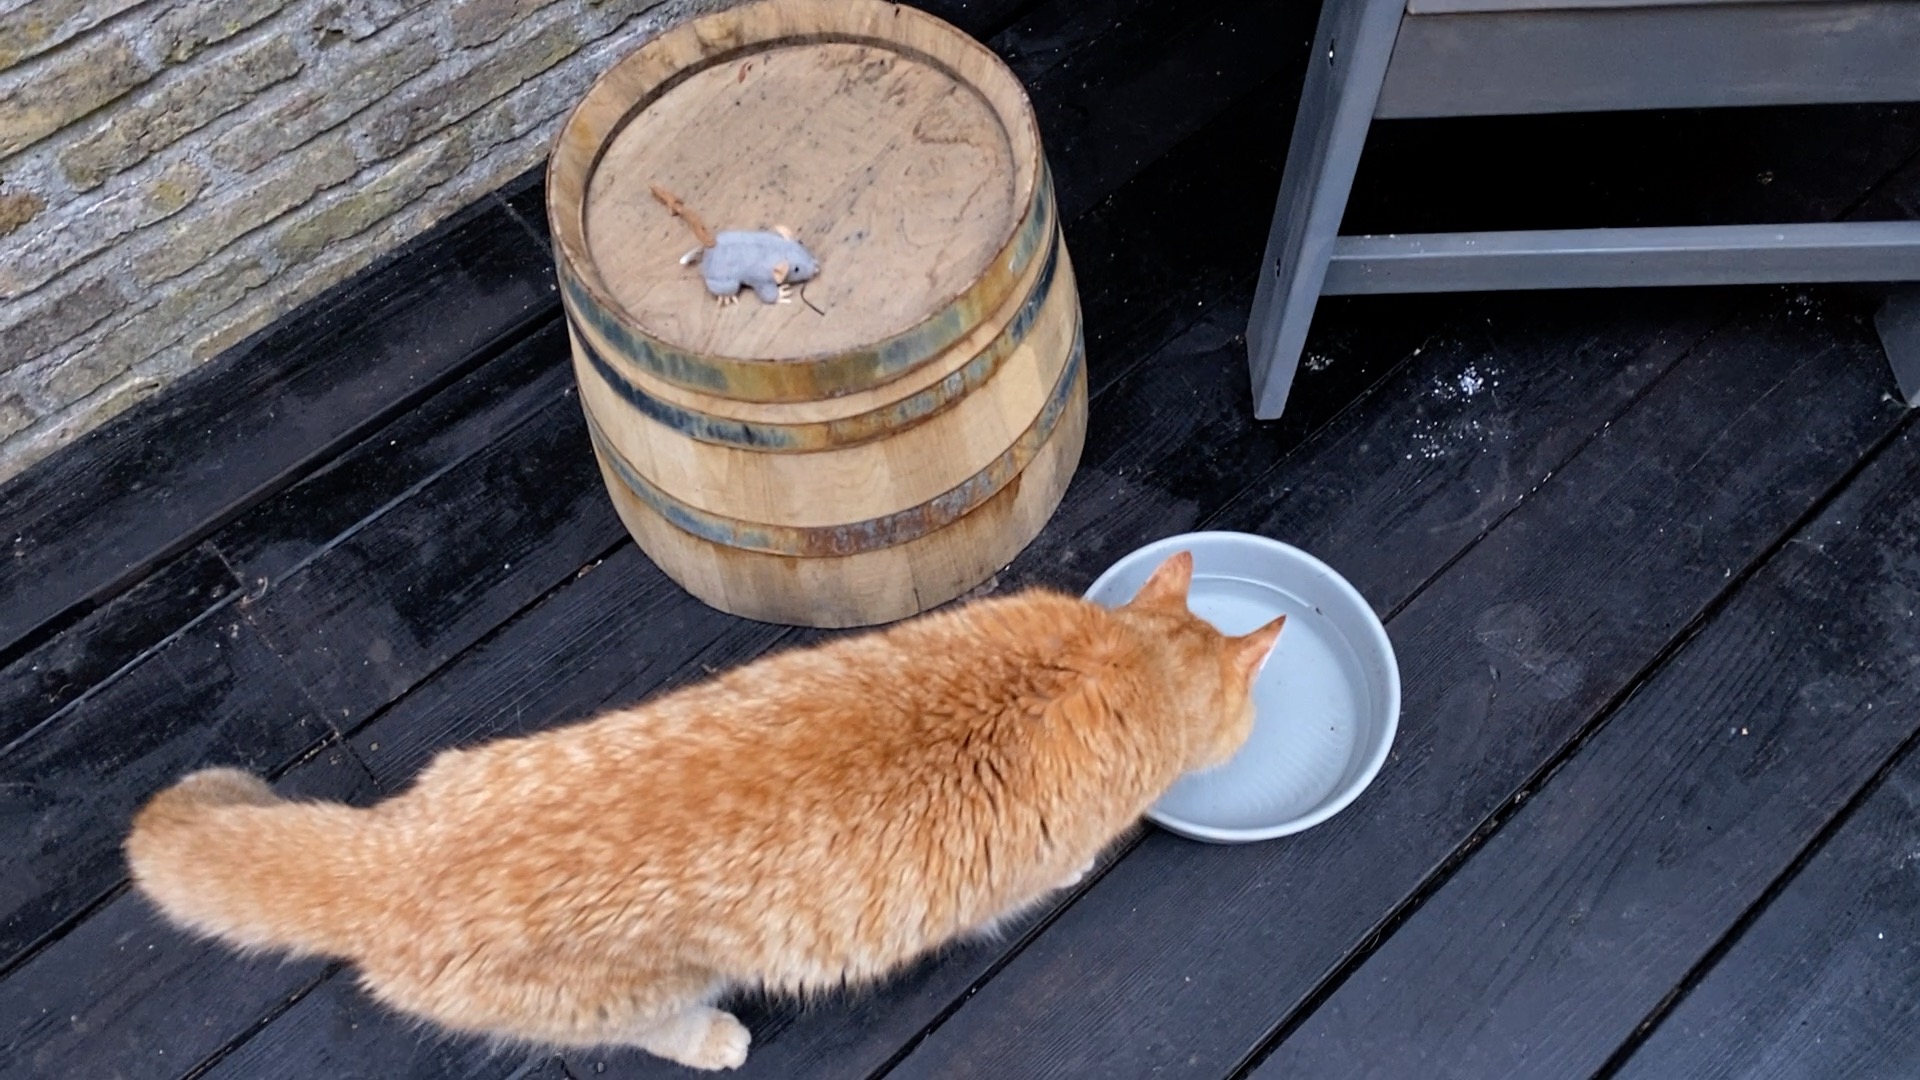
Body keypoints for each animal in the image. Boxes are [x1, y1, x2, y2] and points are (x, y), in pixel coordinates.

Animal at [125, 551, 1282, 1071]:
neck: (1117, 658)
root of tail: (391, 861)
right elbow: (1039, 876)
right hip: (646, 992)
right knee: (659, 1029)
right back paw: (717, 1039)